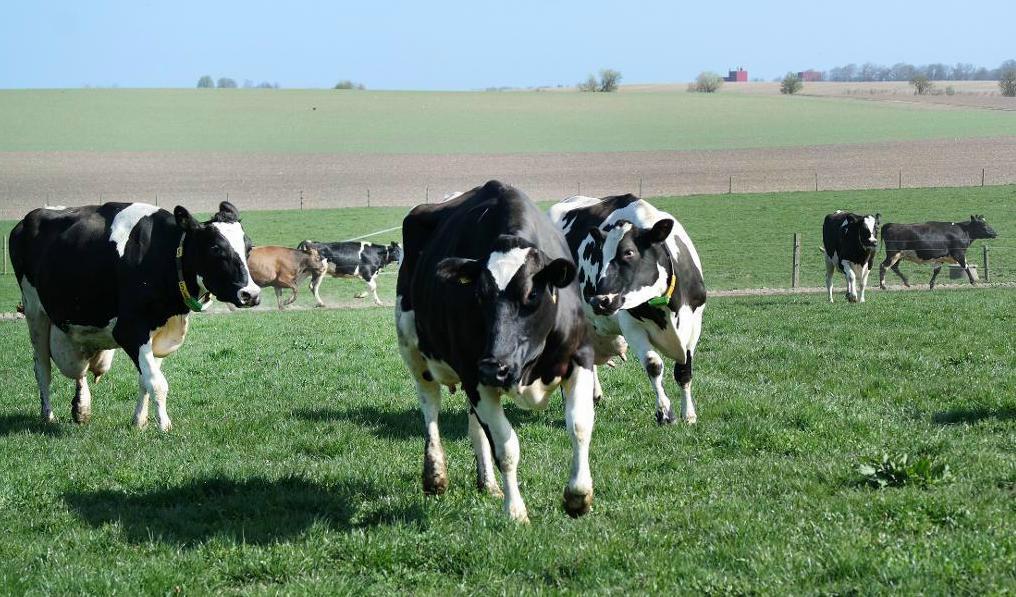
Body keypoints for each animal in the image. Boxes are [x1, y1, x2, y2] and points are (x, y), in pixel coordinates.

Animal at [8, 201, 262, 428]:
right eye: (216, 249)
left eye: (249, 248)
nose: (251, 294)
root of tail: (28, 217)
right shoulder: (130, 330)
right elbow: (157, 383)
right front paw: (164, 426)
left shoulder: (158, 333)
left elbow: (145, 379)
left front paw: (139, 421)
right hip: (35, 311)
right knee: (42, 369)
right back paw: (48, 416)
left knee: (79, 369)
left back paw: (81, 408)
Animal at [396, 179, 597, 519]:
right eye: (478, 296)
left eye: (532, 295)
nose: (495, 367)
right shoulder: (475, 374)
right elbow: (506, 447)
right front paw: (515, 511)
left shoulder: (580, 356)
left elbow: (580, 425)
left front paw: (578, 496)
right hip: (414, 351)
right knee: (430, 407)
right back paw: (435, 474)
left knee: (475, 429)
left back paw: (487, 483)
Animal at [548, 194, 707, 424]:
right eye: (601, 257)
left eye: (628, 253)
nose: (599, 301)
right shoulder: (631, 326)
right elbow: (653, 364)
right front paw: (665, 412)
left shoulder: (694, 323)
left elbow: (684, 370)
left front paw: (689, 415)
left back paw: (593, 395)